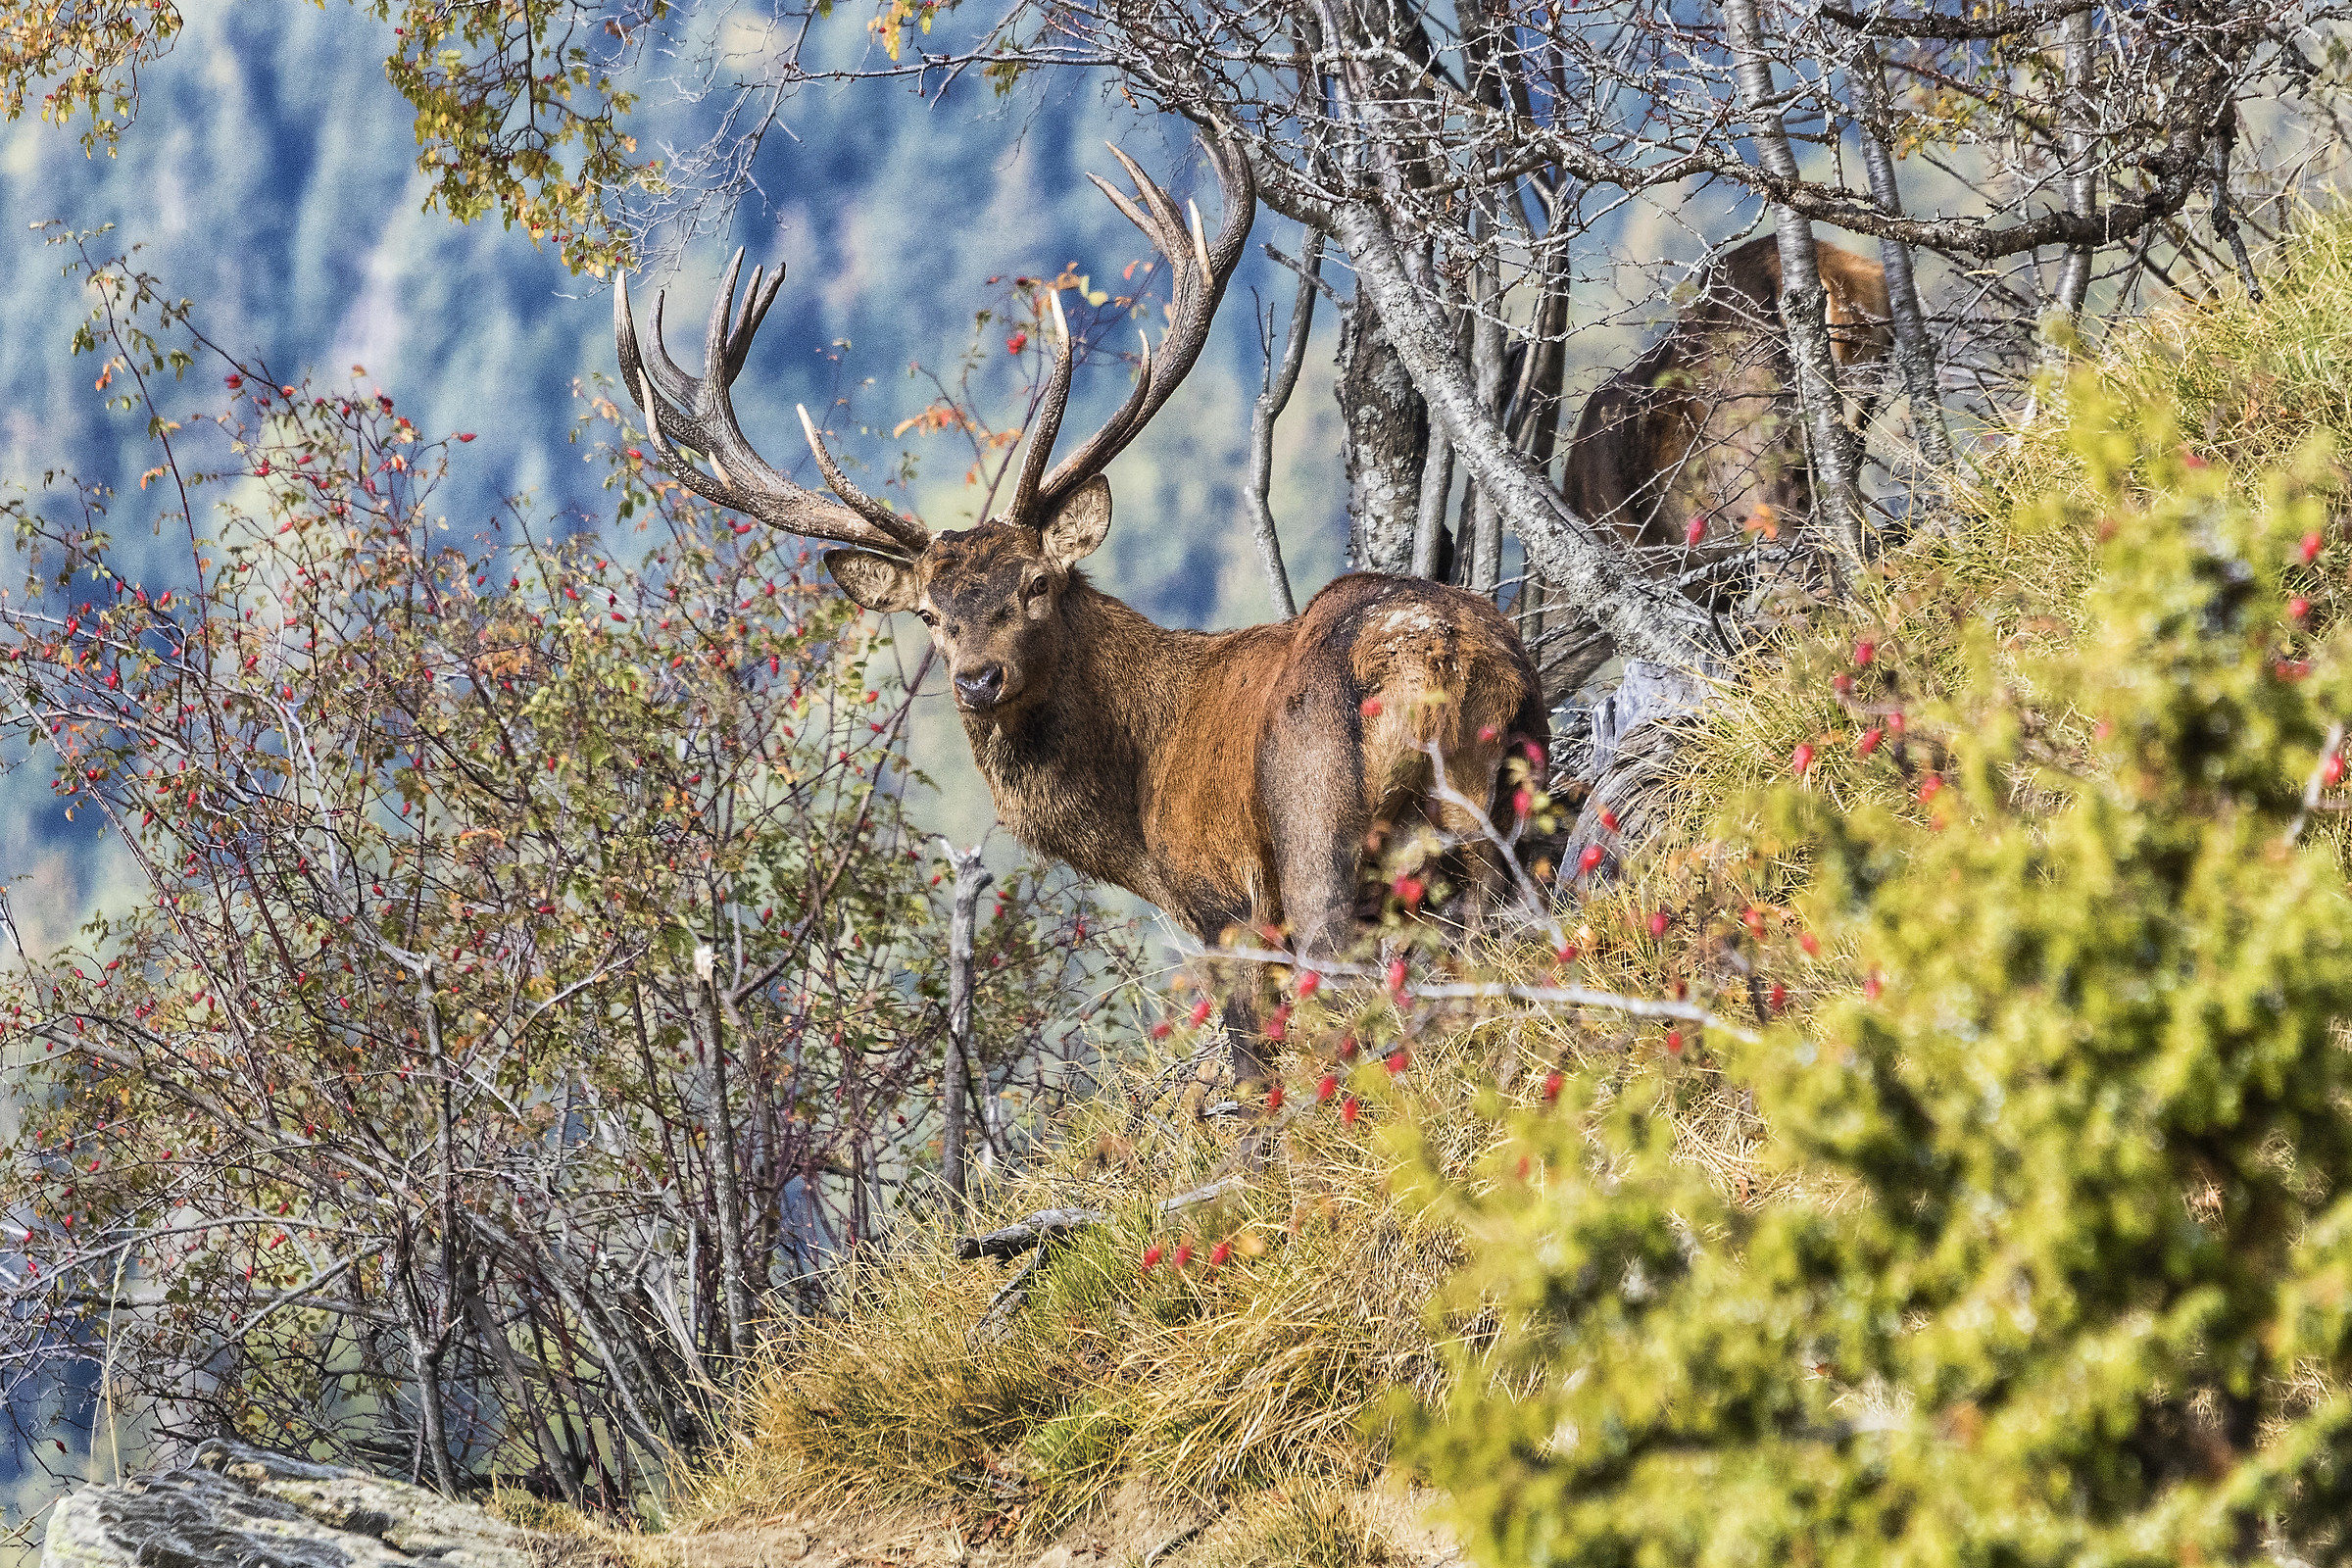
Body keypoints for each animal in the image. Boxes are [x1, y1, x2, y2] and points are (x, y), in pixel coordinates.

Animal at [612, 134, 1548, 1080]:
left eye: (1037, 583)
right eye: (929, 616)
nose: (978, 680)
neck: (1135, 811)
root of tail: (1434, 654)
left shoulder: (1224, 903)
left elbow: (1253, 1067)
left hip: (1318, 827)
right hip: (1513, 801)